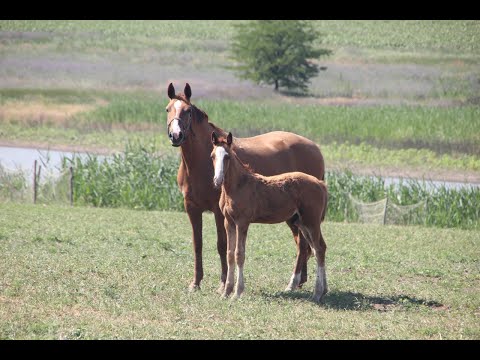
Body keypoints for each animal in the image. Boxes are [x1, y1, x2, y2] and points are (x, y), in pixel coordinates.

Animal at [166, 82, 326, 292]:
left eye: (188, 111)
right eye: (167, 109)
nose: (176, 135)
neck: (198, 164)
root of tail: (315, 148)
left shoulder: (219, 212)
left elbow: (222, 245)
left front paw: (223, 283)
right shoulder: (191, 208)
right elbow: (197, 244)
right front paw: (196, 282)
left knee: (305, 246)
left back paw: (294, 283)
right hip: (295, 217)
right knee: (304, 245)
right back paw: (298, 281)